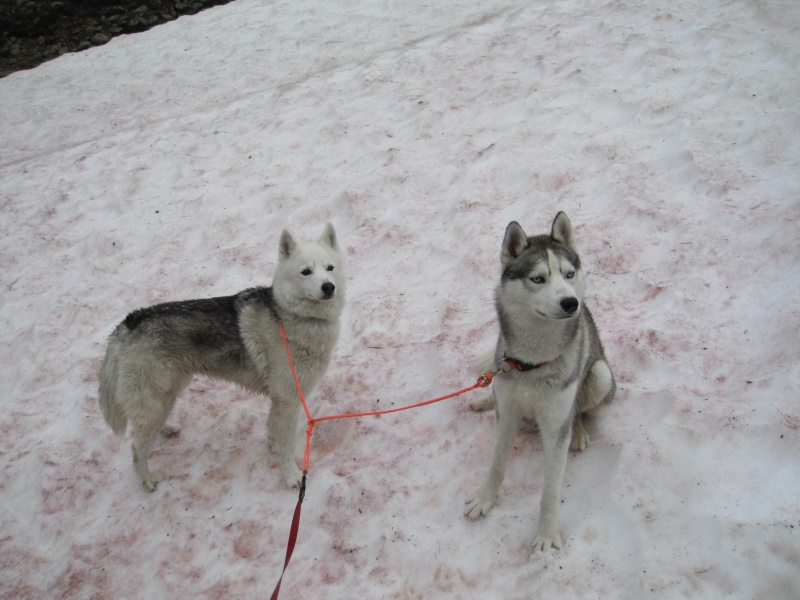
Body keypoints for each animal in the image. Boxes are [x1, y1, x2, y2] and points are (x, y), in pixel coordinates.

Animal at [97, 223, 344, 490]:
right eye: (306, 272)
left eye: (329, 268)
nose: (328, 287)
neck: (296, 318)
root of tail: (127, 324)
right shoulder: (288, 400)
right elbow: (287, 445)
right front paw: (292, 476)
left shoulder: (279, 399)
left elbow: (273, 431)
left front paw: (273, 450)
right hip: (156, 397)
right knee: (137, 448)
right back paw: (147, 481)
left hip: (169, 391)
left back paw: (167, 429)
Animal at [466, 213, 616, 556]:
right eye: (538, 279)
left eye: (569, 273)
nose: (571, 303)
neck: (531, 364)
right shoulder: (507, 412)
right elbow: (496, 464)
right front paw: (485, 498)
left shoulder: (555, 423)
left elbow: (550, 491)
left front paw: (547, 534)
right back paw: (483, 400)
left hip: (600, 374)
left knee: (580, 410)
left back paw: (579, 432)